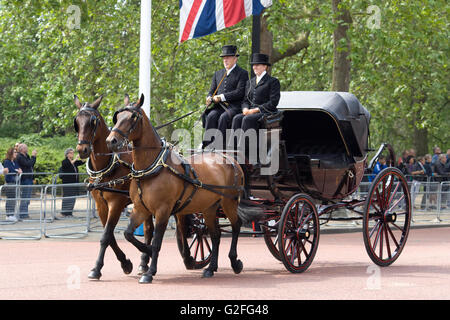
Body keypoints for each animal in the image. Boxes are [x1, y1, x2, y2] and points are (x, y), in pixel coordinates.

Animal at [74, 94, 155, 278]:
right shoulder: (101, 205)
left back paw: (144, 261)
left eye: (93, 121)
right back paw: (143, 262)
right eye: (77, 121)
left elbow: (106, 236)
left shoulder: (116, 204)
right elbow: (109, 235)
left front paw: (97, 269)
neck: (106, 166)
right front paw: (125, 263)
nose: (82, 149)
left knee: (148, 229)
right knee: (148, 228)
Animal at [106, 93, 244, 282]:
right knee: (215, 235)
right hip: (209, 208)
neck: (151, 168)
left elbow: (157, 242)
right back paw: (210, 268)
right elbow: (128, 234)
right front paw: (145, 255)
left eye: (133, 117)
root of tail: (230, 158)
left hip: (229, 202)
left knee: (236, 225)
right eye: (118, 116)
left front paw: (150, 271)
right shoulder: (140, 208)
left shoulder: (163, 210)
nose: (111, 141)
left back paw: (235, 262)